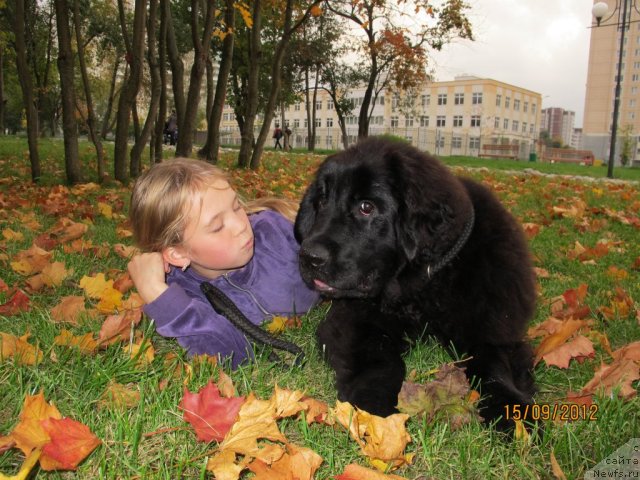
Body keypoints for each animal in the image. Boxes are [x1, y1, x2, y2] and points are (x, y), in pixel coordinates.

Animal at [296, 138, 536, 428]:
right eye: (322, 201)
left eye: (366, 207)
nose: (308, 257)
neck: (424, 286)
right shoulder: (355, 320)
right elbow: (381, 358)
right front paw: (375, 406)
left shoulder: (491, 327)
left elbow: (494, 367)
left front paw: (514, 413)